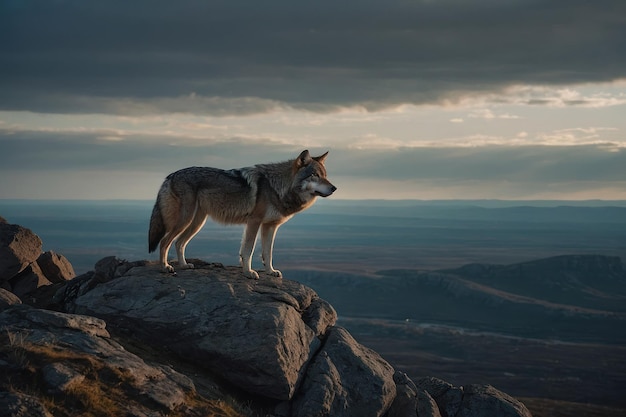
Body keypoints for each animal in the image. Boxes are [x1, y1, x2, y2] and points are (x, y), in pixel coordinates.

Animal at [149, 150, 336, 280]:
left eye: (325, 176)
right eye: (315, 175)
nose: (334, 188)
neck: (278, 187)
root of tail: (170, 175)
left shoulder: (270, 226)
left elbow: (268, 252)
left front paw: (270, 271)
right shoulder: (254, 222)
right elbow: (249, 250)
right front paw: (248, 272)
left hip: (196, 223)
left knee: (179, 243)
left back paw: (184, 265)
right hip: (185, 220)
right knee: (165, 242)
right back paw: (165, 267)